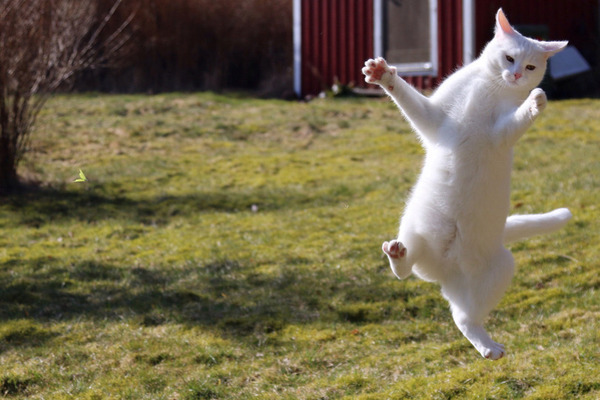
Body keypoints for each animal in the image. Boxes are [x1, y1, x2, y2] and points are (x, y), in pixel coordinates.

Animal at [360, 9, 572, 360]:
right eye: (509, 57)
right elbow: (405, 96)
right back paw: (398, 253)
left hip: (501, 269)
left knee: (464, 318)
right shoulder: (434, 119)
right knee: (406, 271)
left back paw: (487, 346)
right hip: (413, 227)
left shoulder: (501, 135)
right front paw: (382, 74)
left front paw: (535, 102)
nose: (516, 75)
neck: (490, 87)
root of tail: (444, 274)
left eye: (530, 67)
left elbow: (518, 119)